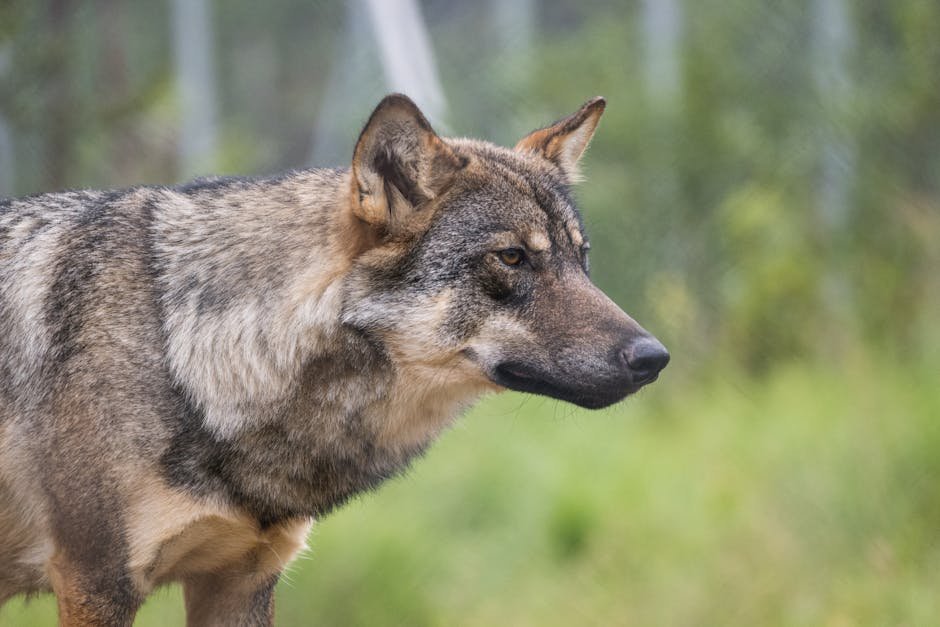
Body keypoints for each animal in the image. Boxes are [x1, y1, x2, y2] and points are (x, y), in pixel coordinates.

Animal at [0, 94, 669, 625]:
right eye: (511, 258)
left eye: (582, 259)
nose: (654, 357)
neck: (182, 350)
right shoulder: (97, 584)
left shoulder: (242, 582)